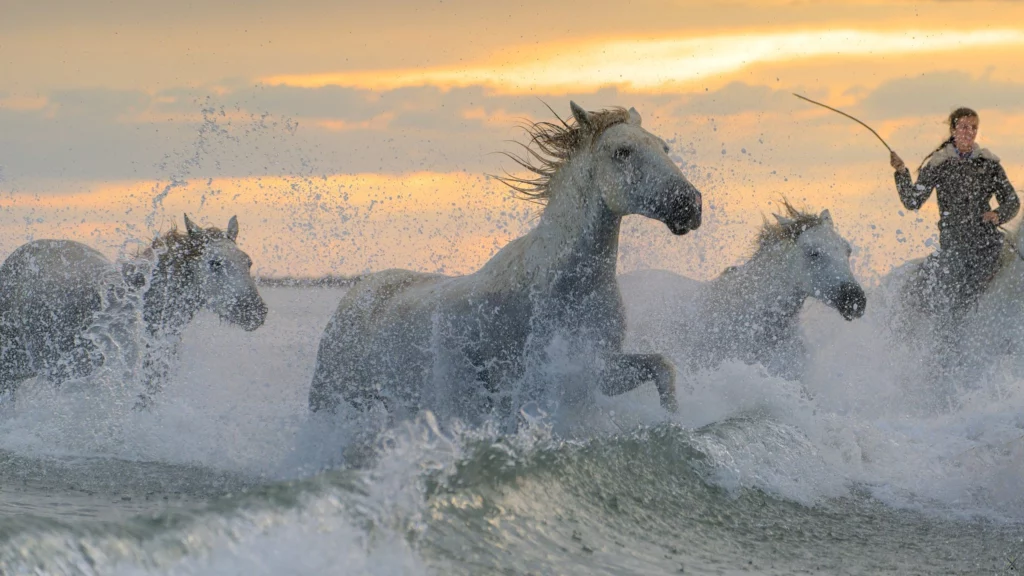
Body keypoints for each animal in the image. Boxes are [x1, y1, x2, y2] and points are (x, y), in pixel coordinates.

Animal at [308, 102, 702, 431]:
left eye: (664, 147)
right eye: (622, 151)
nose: (689, 205)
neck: (566, 285)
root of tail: (358, 291)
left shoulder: (597, 369)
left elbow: (662, 367)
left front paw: (674, 420)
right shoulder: (521, 386)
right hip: (332, 399)